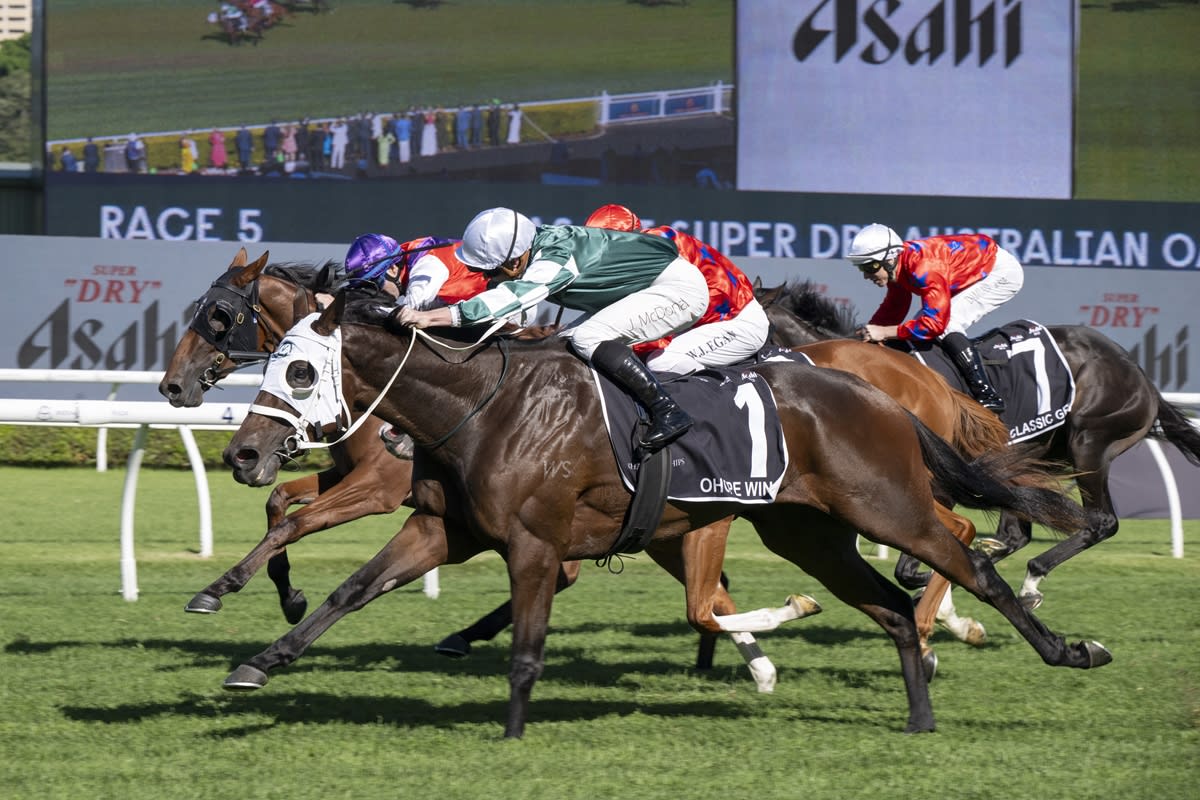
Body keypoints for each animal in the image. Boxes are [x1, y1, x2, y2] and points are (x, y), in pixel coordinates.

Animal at [159, 249, 784, 690]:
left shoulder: (376, 488)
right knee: (704, 584)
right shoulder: (354, 478)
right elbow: (280, 505)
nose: (172, 386)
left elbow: (295, 521)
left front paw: (217, 590)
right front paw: (284, 595)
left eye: (218, 316)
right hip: (654, 522)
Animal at [217, 293, 1109, 737]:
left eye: (299, 369)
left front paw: (511, 736)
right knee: (890, 607)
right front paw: (258, 662)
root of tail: (885, 395)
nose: (244, 454)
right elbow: (351, 592)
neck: (485, 406)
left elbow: (530, 650)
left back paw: (1067, 647)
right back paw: (920, 713)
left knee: (974, 564)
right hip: (809, 531)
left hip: (888, 506)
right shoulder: (441, 529)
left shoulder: (536, 542)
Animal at [757, 280, 1200, 616]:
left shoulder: (931, 480)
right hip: (1029, 455)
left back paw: (1031, 580)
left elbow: (917, 560)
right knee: (1018, 531)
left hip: (1090, 442)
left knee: (1100, 521)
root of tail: (1138, 373)